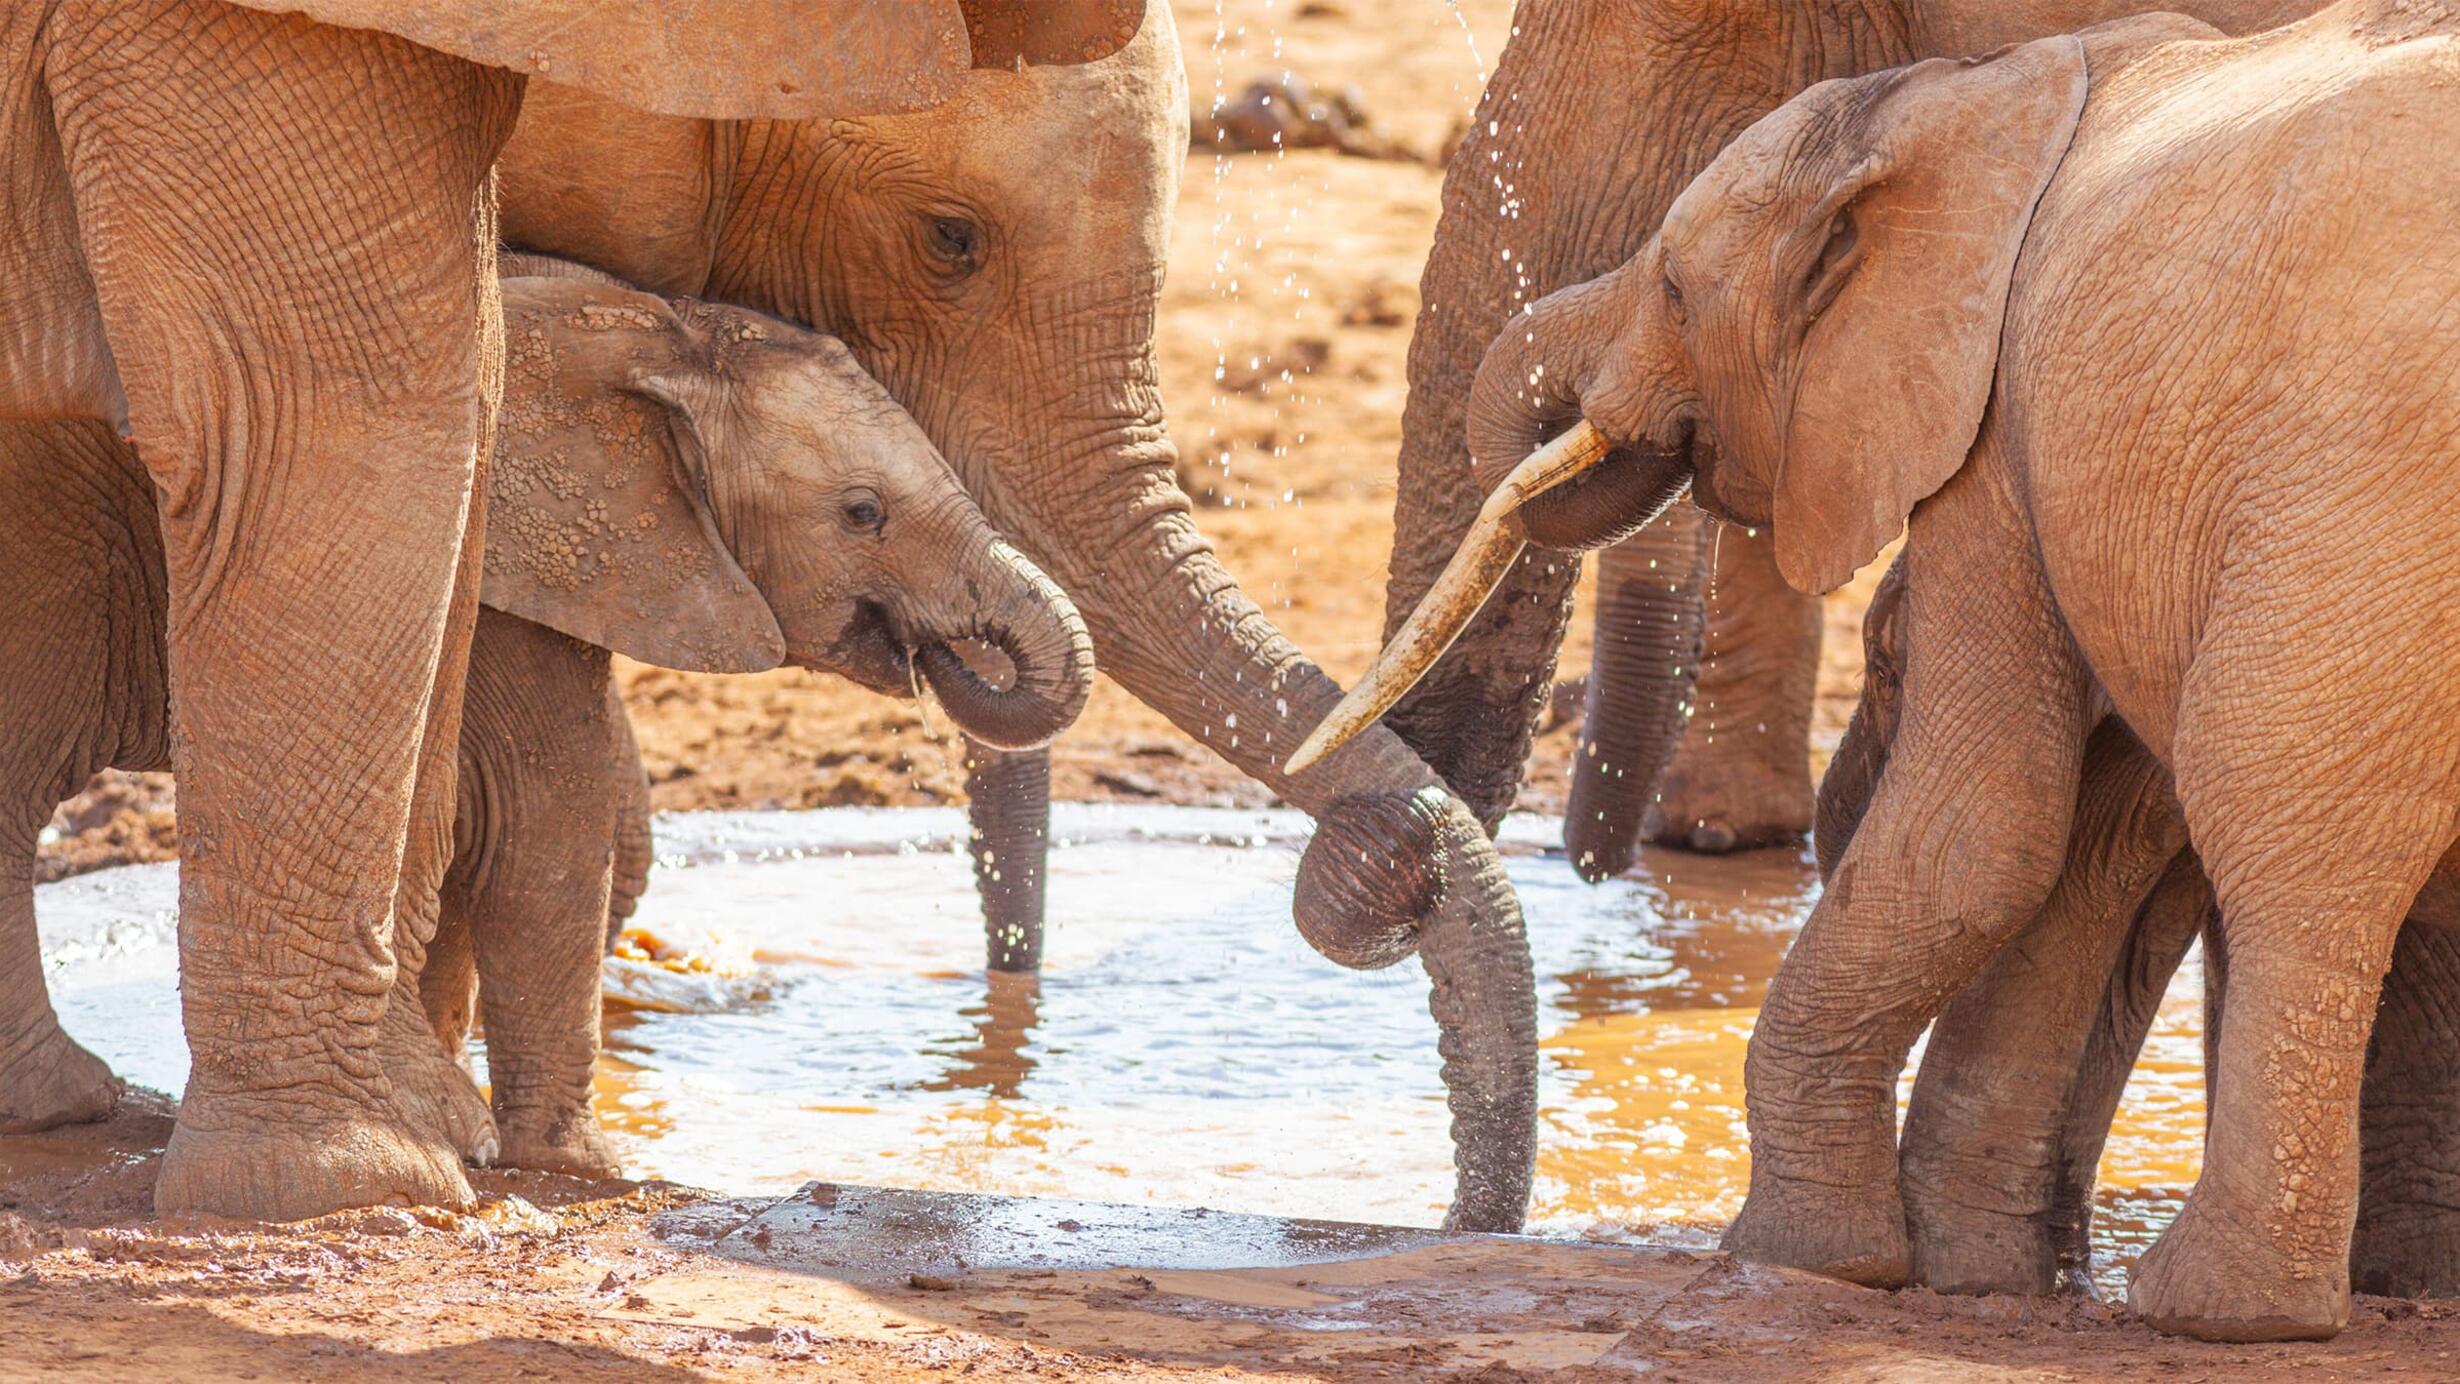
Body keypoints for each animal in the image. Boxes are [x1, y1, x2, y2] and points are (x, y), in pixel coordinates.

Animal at [0, 0, 1131, 1219]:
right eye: (863, 514)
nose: (950, 654)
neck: (660, 340)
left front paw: (468, 1120)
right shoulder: (535, 581)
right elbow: (554, 814)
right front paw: (565, 1165)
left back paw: (60, 1099)